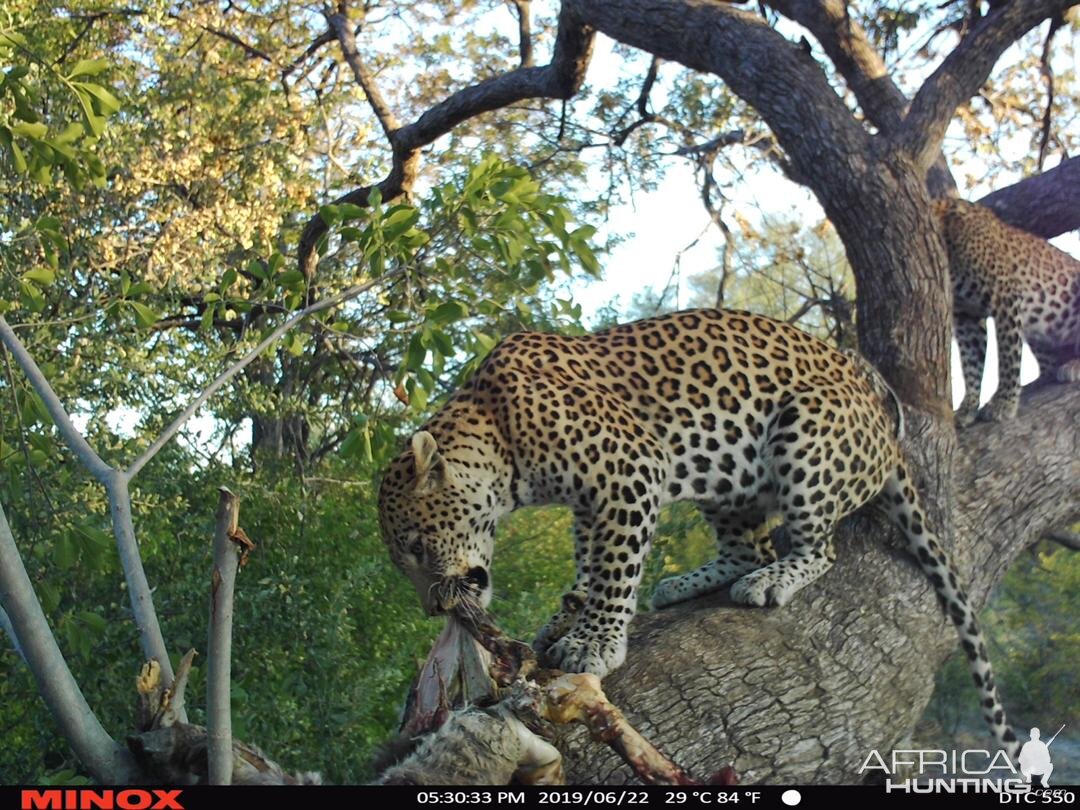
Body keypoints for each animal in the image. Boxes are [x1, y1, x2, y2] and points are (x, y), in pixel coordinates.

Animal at [380, 306, 1019, 760]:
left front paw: (593, 643)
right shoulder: (592, 501)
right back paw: (687, 583)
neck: (498, 435)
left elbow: (614, 570)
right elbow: (591, 562)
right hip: (728, 477)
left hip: (806, 436)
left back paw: (774, 579)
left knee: (820, 548)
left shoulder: (630, 469)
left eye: (415, 546)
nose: (434, 608)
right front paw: (570, 615)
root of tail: (885, 428)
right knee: (746, 547)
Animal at [933, 197, 1075, 427]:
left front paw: (1004, 404)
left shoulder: (1004, 296)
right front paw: (967, 408)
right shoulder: (966, 316)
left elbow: (1008, 357)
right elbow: (971, 364)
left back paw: (1073, 365)